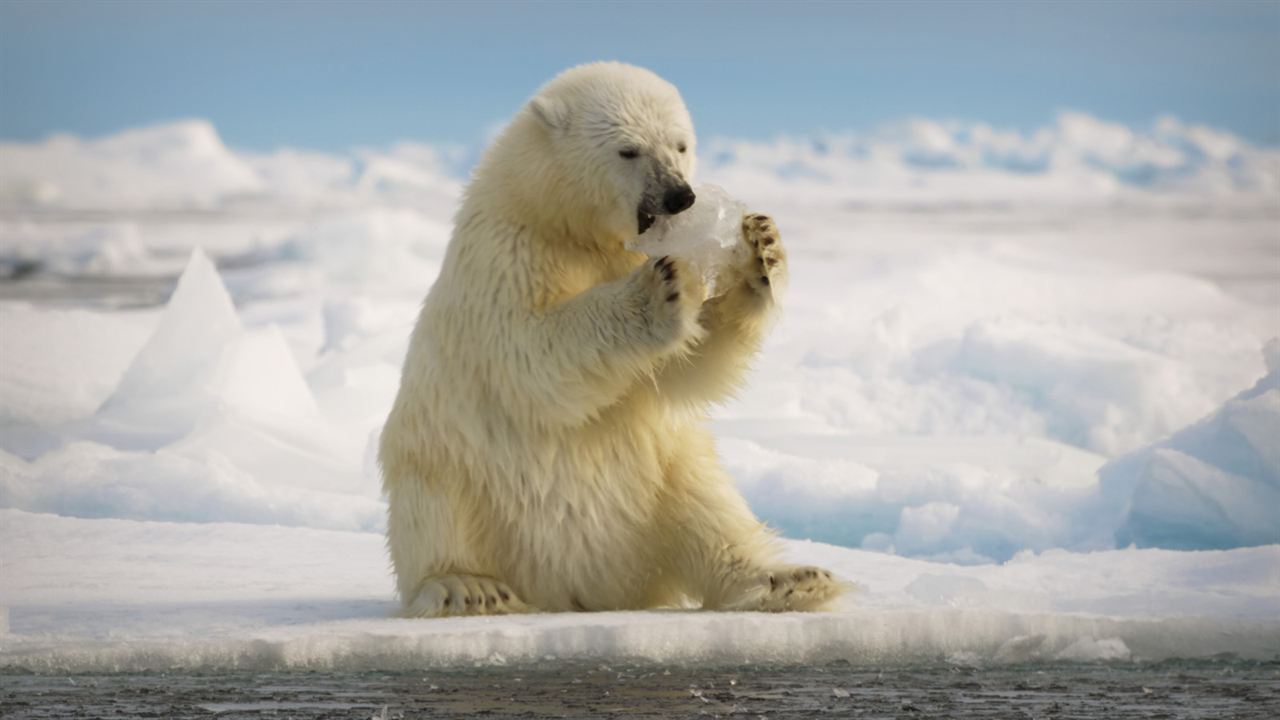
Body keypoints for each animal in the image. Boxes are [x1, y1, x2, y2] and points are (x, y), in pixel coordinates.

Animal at [373, 61, 844, 614]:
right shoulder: (505, 252)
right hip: (448, 471)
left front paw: (759, 249)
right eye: (628, 150)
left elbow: (681, 375)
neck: (567, 224)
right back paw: (469, 588)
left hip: (660, 482)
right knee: (437, 516)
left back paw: (789, 579)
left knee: (708, 505)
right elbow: (527, 353)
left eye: (680, 144)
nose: (680, 196)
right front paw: (662, 287)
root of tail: (581, 586)